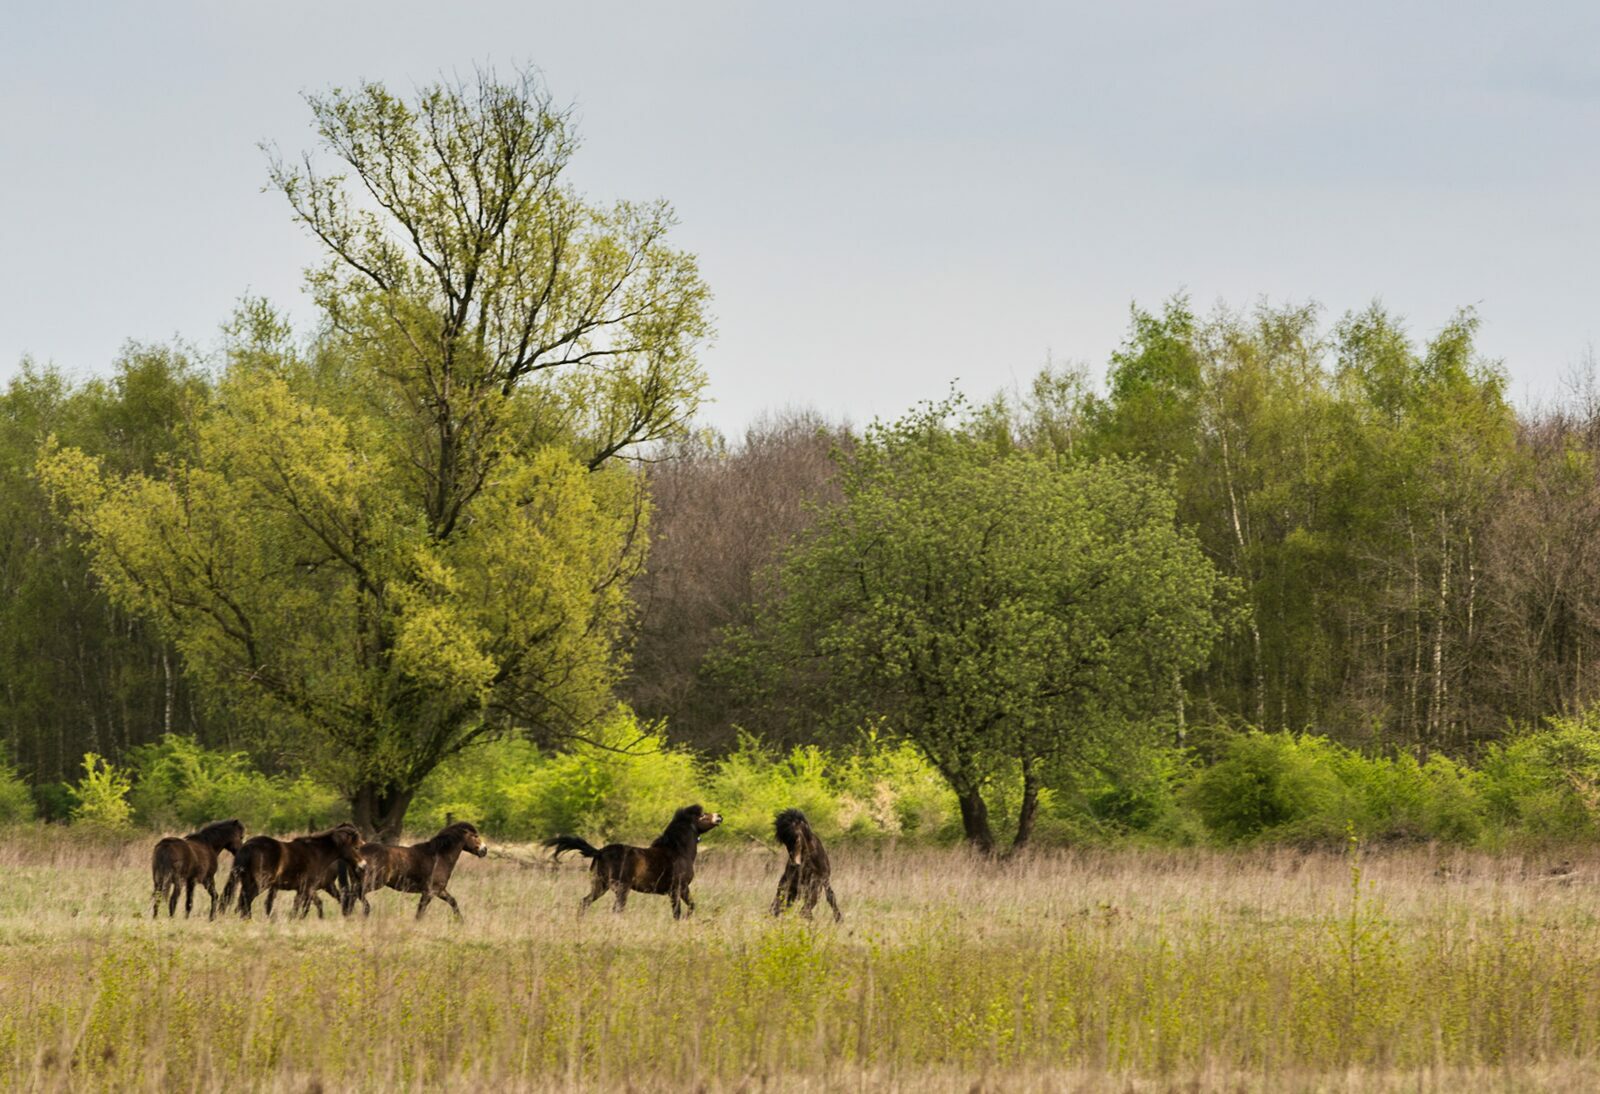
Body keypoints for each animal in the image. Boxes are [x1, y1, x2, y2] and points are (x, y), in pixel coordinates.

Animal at [220, 825, 366, 921]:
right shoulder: (306, 887)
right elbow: (299, 907)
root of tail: (248, 846)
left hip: (246, 880)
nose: (363, 866)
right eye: (356, 847)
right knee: (247, 900)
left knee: (243, 900)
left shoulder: (305, 889)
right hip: (260, 883)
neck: (316, 853)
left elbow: (306, 905)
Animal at [350, 825, 492, 921]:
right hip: (375, 881)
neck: (440, 857)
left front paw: (461, 922)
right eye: (475, 836)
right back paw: (365, 911)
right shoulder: (430, 891)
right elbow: (420, 911)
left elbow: (453, 902)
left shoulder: (439, 890)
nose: (484, 850)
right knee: (358, 893)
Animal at [550, 799, 726, 921]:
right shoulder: (678, 888)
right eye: (702, 815)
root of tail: (599, 852)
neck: (679, 851)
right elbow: (680, 911)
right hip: (621, 888)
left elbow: (690, 906)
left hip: (600, 885)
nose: (719, 816)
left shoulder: (679, 890)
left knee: (585, 902)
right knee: (616, 909)